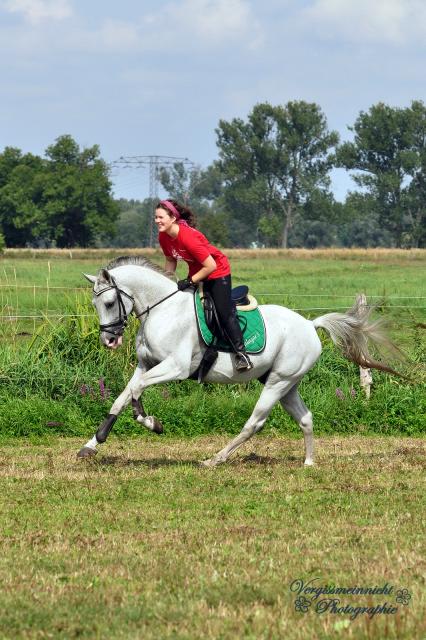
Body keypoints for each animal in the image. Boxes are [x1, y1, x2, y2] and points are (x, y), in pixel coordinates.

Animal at [77, 255, 400, 464]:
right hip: (287, 383)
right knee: (305, 418)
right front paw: (92, 444)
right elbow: (122, 396)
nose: (109, 340)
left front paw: (151, 422)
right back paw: (308, 463)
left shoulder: (175, 368)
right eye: (95, 304)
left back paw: (215, 459)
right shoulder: (146, 365)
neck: (162, 310)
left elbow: (135, 391)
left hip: (278, 383)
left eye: (109, 303)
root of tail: (310, 324)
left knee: (255, 423)